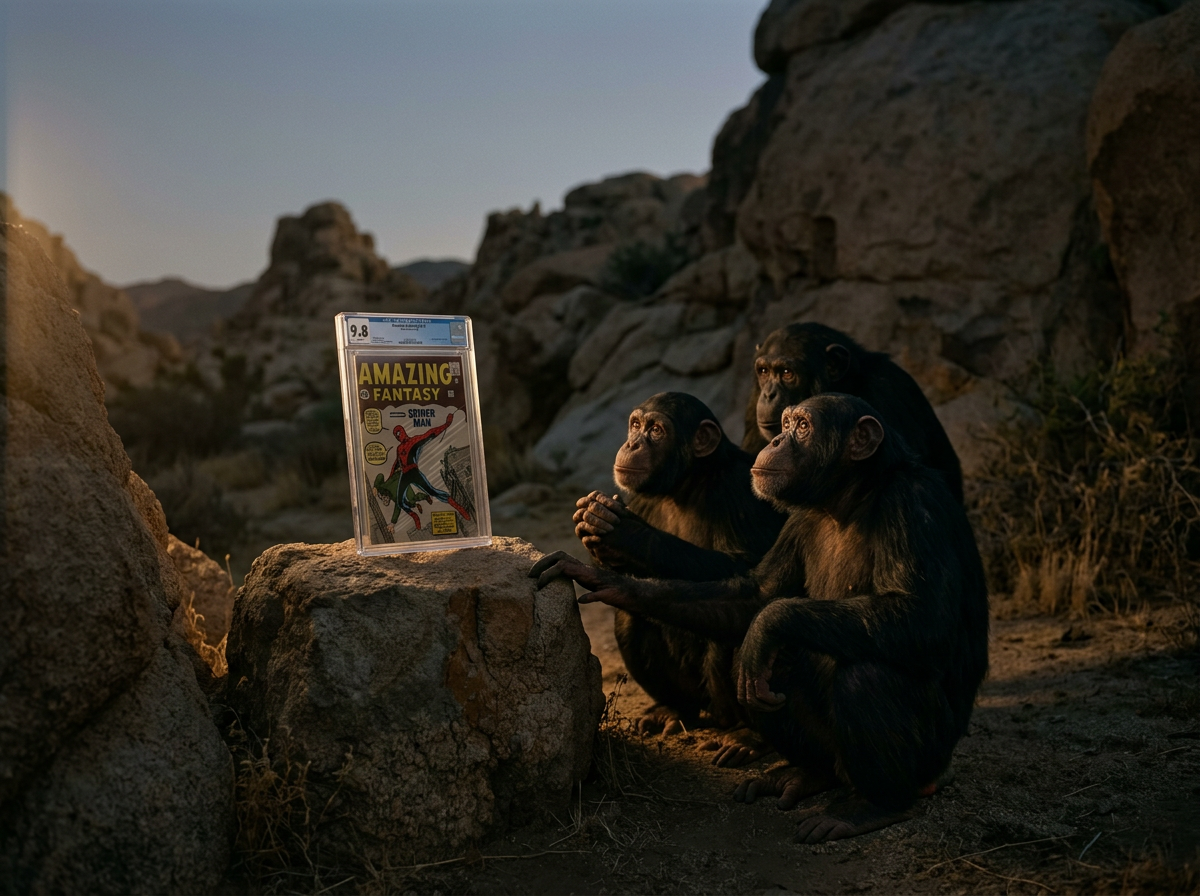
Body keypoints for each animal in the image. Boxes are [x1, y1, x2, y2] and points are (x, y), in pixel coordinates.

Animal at [532, 393, 988, 842]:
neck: (848, 498)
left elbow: (920, 617)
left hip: (930, 754)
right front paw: (602, 573)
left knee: (853, 675)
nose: (632, 443)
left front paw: (624, 534)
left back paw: (863, 801)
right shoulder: (796, 517)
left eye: (802, 426)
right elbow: (753, 592)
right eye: (635, 425)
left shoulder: (912, 507)